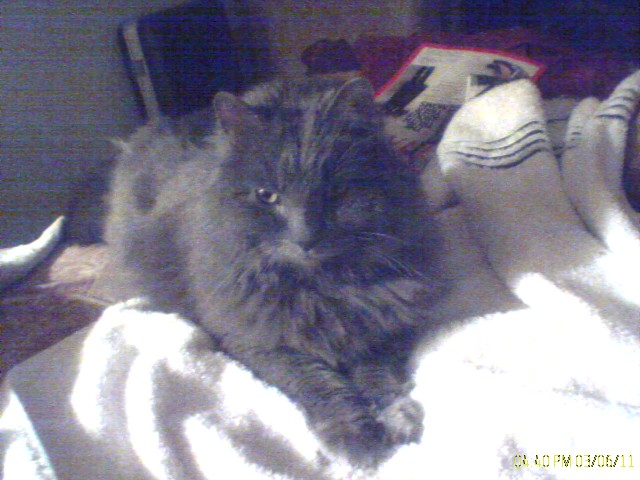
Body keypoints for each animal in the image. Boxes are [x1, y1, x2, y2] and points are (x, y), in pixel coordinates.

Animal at [105, 77, 444, 464]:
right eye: (267, 196)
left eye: (333, 193)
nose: (305, 238)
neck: (320, 288)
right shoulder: (260, 341)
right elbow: (317, 383)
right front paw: (355, 437)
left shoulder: (383, 323)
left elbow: (378, 376)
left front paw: (396, 418)